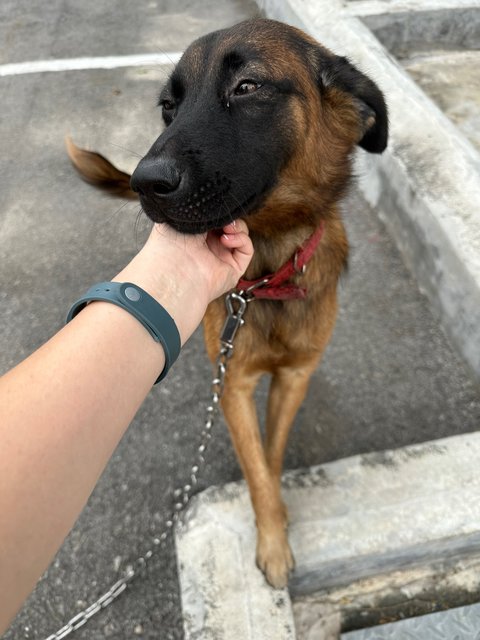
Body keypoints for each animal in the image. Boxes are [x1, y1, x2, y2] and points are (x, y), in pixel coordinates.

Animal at [67, 17, 388, 588]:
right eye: (168, 105)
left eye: (248, 86)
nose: (145, 182)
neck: (268, 275)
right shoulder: (234, 383)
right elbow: (255, 469)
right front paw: (273, 543)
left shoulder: (292, 377)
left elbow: (271, 455)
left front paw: (278, 519)